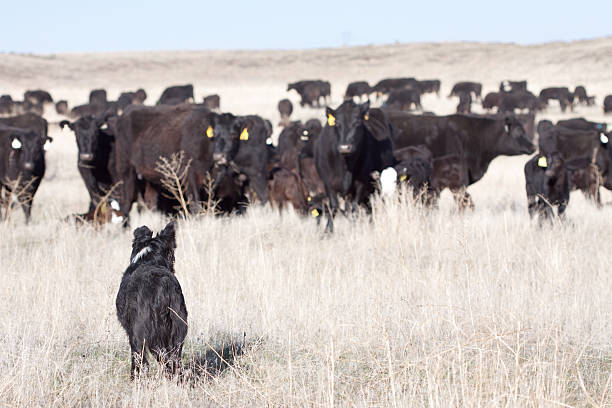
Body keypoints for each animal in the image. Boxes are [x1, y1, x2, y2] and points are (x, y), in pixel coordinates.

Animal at [115, 220, 186, 380]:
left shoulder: (132, 333)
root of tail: (162, 286)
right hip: (179, 326)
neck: (148, 259)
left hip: (144, 333)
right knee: (175, 360)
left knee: (150, 359)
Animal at [314, 101, 394, 233]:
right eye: (337, 124)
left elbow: (355, 207)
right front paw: (327, 232)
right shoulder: (328, 183)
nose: (345, 147)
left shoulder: (362, 183)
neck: (346, 166)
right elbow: (334, 206)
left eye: (357, 123)